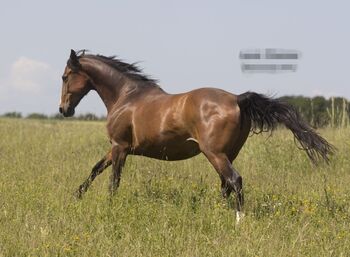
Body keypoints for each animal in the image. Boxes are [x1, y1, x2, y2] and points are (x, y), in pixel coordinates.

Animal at [58, 49, 334, 221]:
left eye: (65, 76)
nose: (63, 109)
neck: (127, 97)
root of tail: (237, 99)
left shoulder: (120, 147)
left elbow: (113, 180)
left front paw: (109, 205)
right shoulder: (117, 148)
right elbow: (95, 169)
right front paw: (76, 196)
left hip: (214, 153)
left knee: (234, 181)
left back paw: (238, 219)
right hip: (227, 153)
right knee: (225, 185)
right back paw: (215, 212)